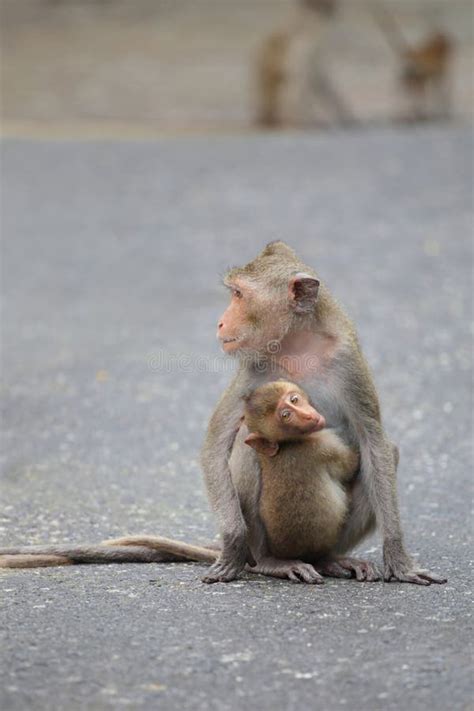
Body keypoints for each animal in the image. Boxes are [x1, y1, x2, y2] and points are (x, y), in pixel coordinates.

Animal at [200, 240, 447, 586]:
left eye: (239, 294)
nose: (220, 322)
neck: (298, 345)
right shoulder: (254, 368)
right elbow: (216, 444)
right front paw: (232, 547)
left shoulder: (348, 362)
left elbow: (375, 444)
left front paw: (399, 559)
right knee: (246, 445)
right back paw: (270, 562)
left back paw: (329, 559)